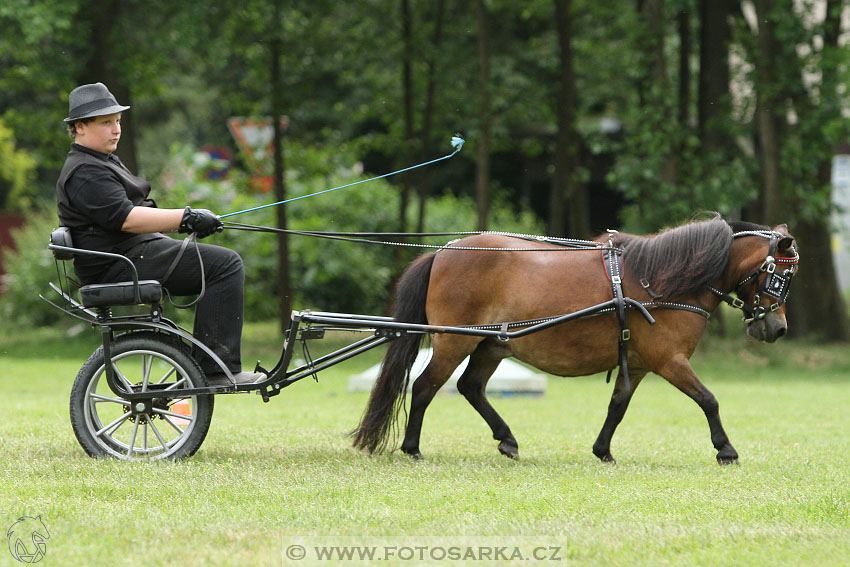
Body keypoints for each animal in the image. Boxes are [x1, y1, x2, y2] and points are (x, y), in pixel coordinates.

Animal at [350, 215, 796, 464]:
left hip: (491, 344)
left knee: (470, 387)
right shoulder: (669, 360)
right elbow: (709, 400)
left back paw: (507, 439)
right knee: (425, 386)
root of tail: (444, 251)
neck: (665, 279)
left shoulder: (637, 362)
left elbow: (618, 406)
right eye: (780, 275)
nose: (777, 329)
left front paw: (603, 450)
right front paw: (726, 450)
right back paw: (412, 447)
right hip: (451, 341)